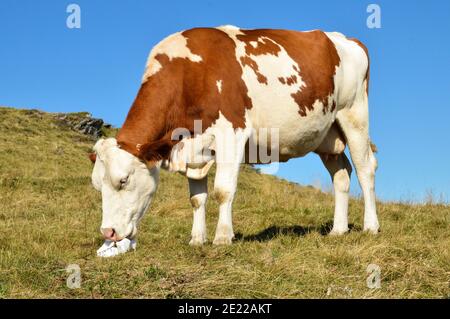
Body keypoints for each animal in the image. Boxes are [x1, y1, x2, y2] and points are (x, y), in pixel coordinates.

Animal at [89, 25, 378, 250]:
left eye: (123, 180)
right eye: (97, 186)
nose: (108, 233)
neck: (191, 74)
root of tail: (345, 39)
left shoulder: (231, 134)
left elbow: (223, 191)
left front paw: (222, 237)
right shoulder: (193, 148)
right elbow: (197, 198)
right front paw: (197, 239)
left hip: (354, 116)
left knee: (365, 169)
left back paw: (371, 226)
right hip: (328, 137)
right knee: (341, 175)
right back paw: (338, 229)